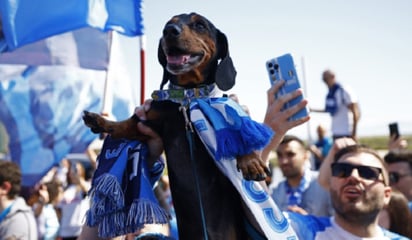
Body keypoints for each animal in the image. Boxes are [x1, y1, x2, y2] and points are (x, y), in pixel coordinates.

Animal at [84, 13, 270, 240]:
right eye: (168, 24)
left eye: (200, 25)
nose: (170, 31)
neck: (188, 99)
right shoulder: (148, 121)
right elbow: (124, 124)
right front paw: (99, 120)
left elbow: (240, 132)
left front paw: (251, 161)